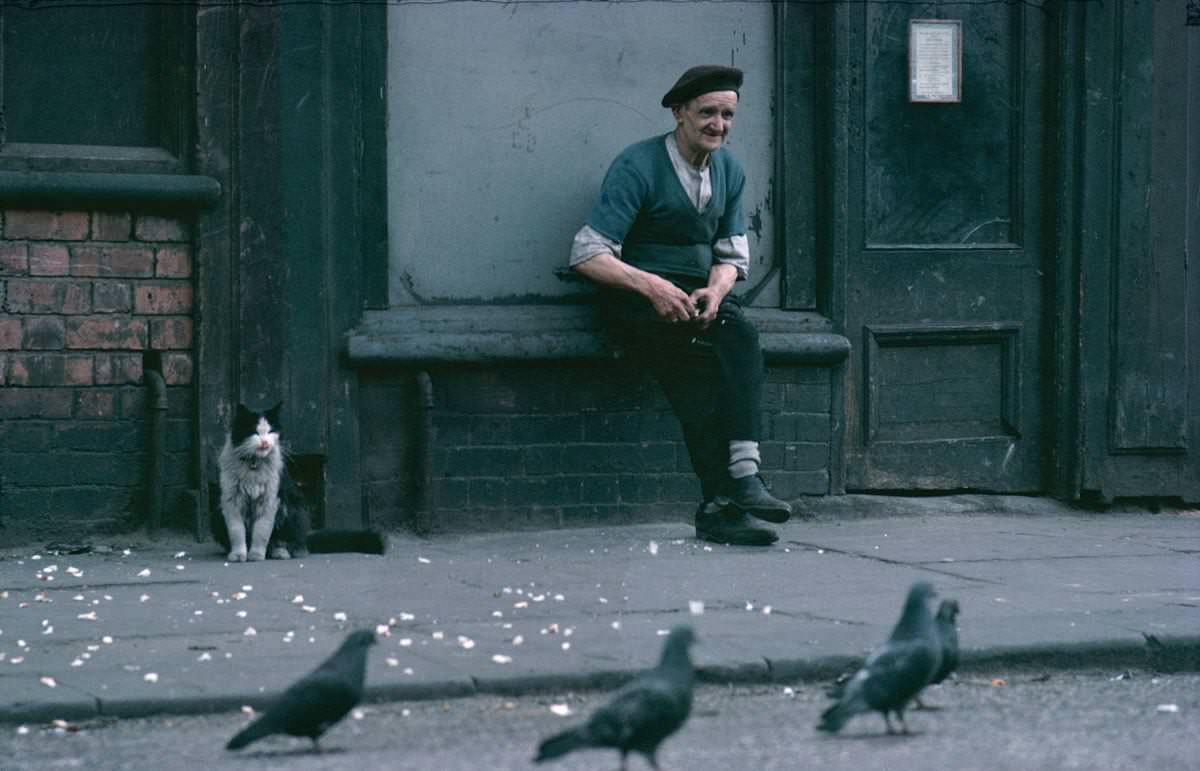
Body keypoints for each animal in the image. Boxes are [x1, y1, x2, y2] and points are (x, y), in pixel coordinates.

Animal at [212, 403, 384, 557]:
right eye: (254, 432)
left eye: (270, 431)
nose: (265, 442)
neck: (254, 464)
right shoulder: (231, 499)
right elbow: (236, 530)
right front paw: (238, 555)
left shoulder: (270, 499)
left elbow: (261, 531)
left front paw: (256, 555)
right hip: (217, 513)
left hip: (293, 508)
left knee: (289, 542)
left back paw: (280, 552)